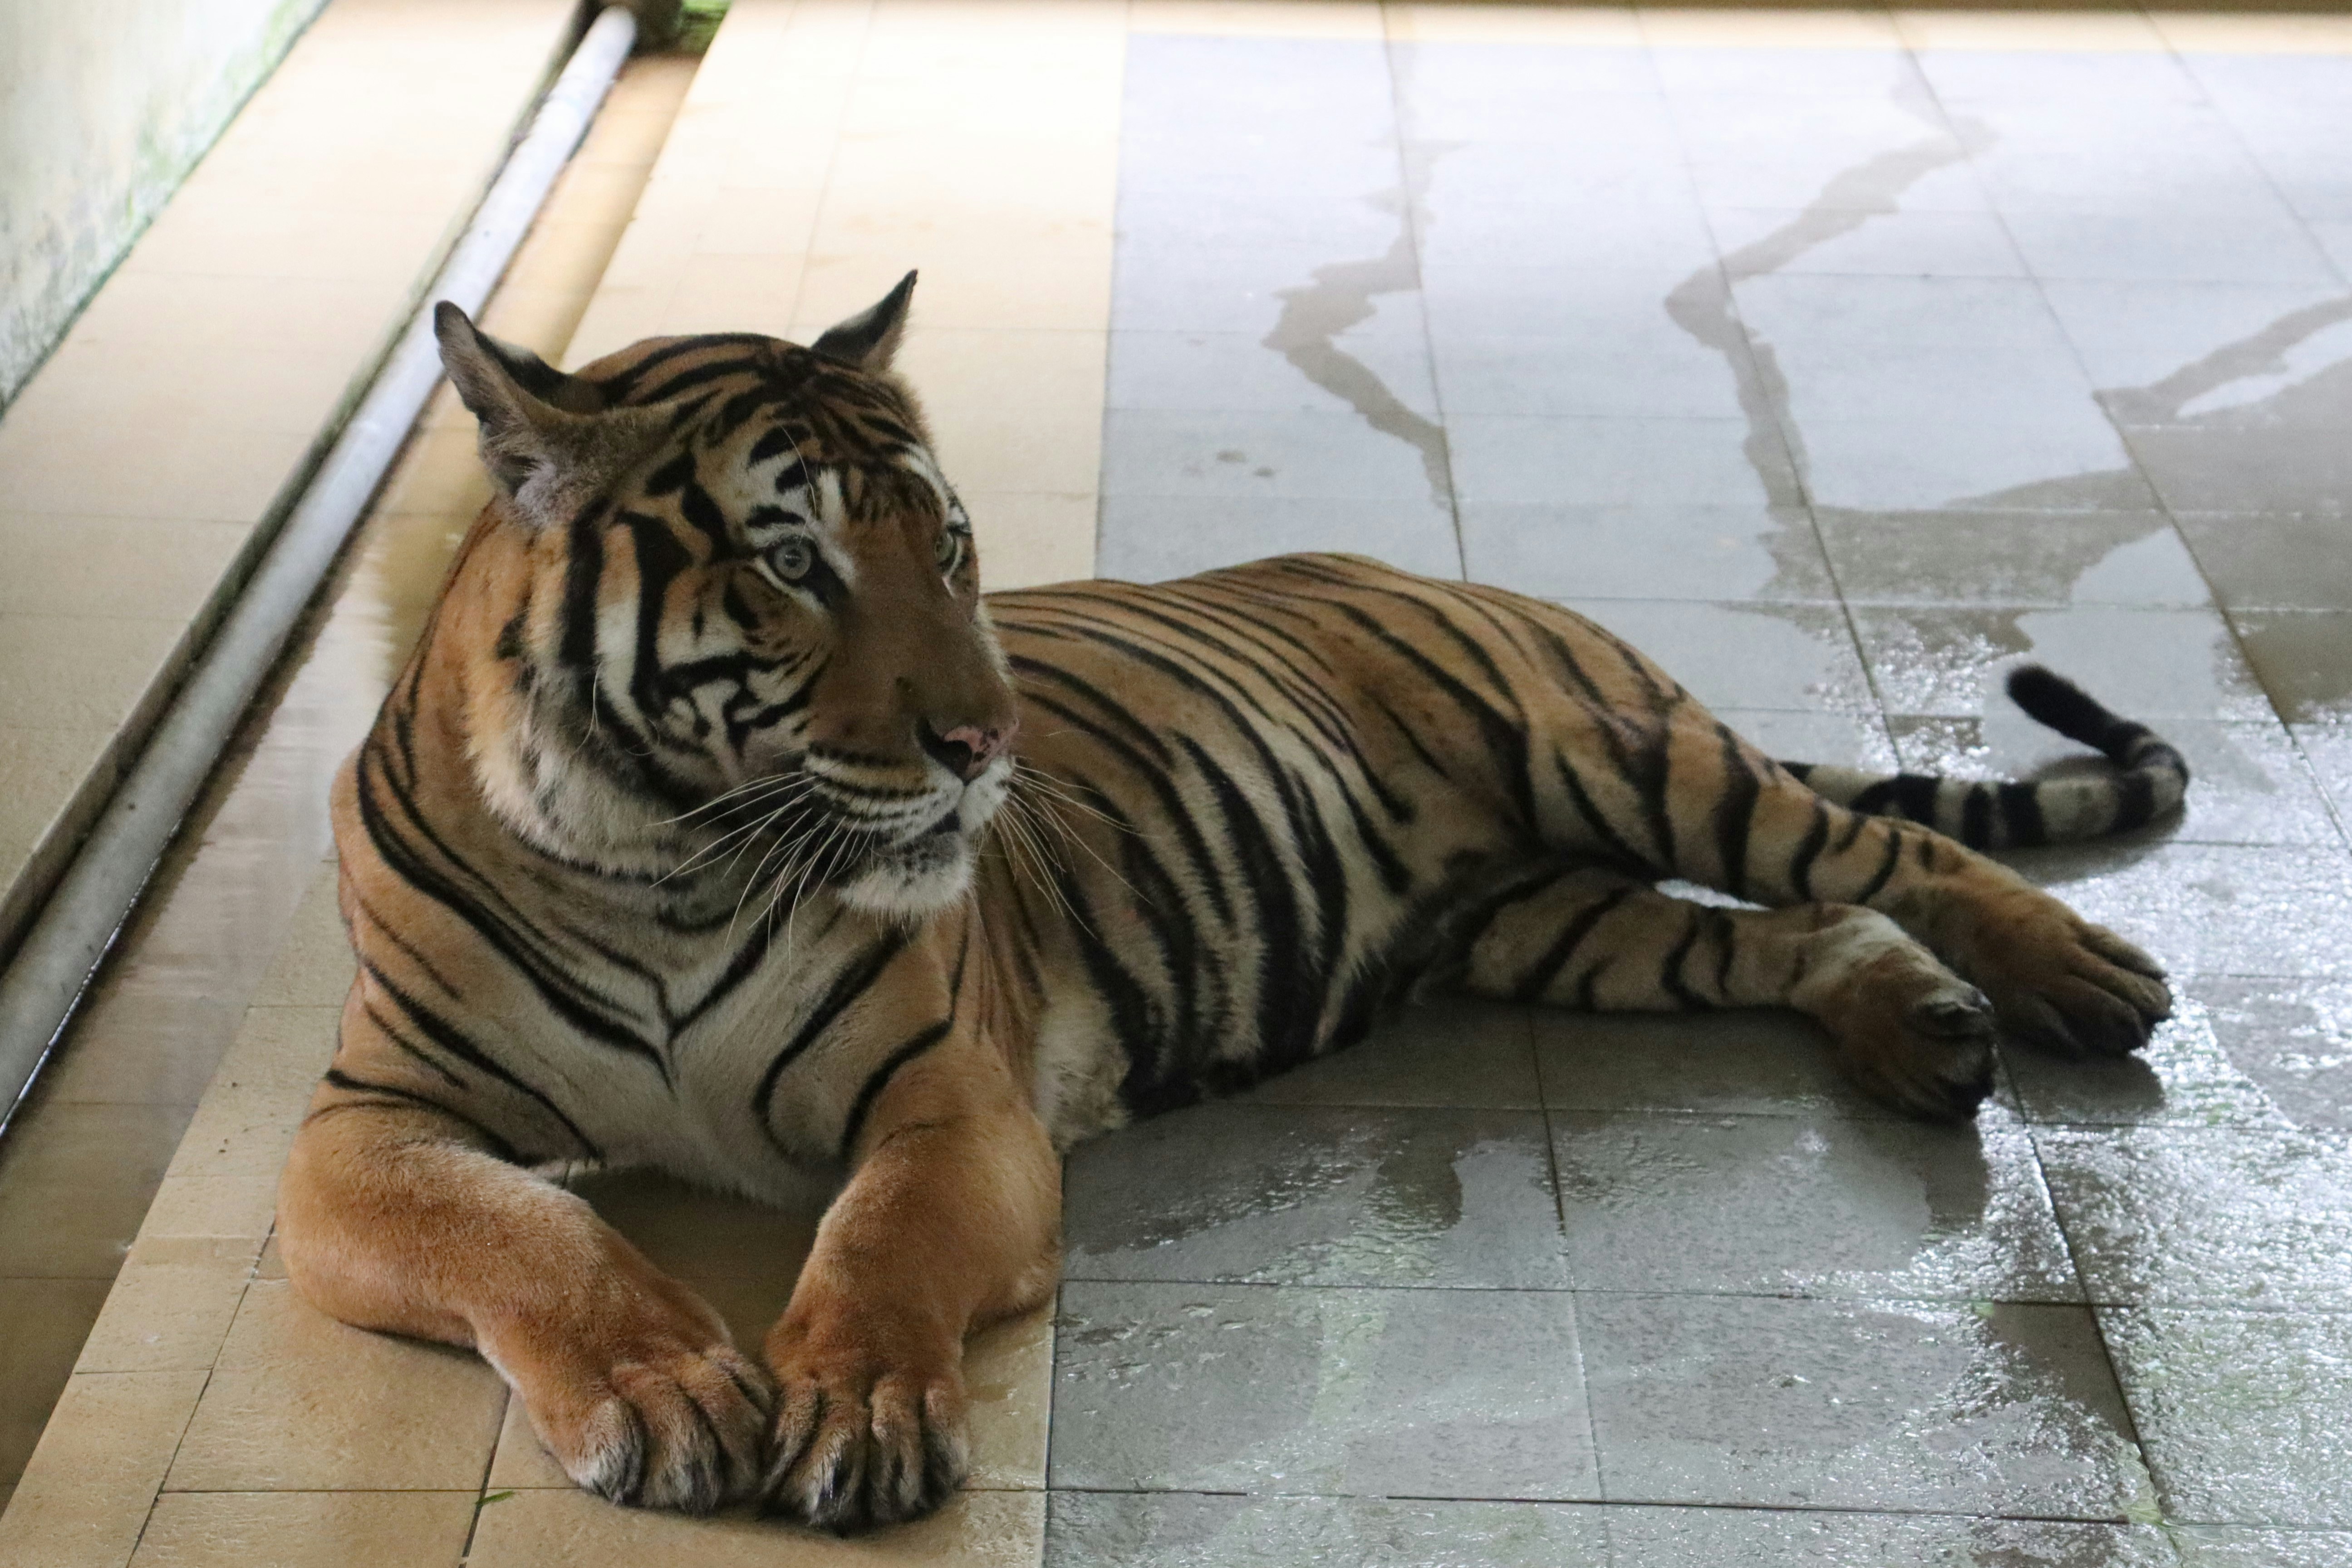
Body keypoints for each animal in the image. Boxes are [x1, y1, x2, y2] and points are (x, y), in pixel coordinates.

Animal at [277, 273, 2185, 1534]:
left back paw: (2079, 977)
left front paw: (859, 1404)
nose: (986, 741)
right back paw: (1921, 1028)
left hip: (1618, 754)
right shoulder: (364, 1123)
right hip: (1563, 925)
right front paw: (663, 1382)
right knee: (1793, 932)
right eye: (790, 560)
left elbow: (880, 1240)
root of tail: (1417, 564)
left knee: (1886, 852)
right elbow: (521, 1231)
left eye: (948, 543)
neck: (665, 861)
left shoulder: (949, 1101)